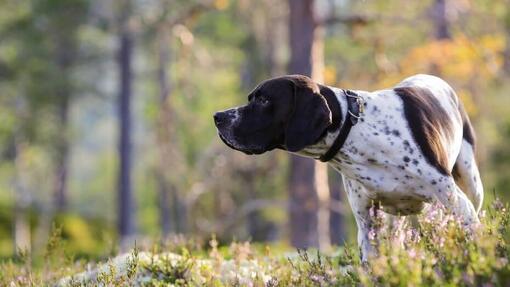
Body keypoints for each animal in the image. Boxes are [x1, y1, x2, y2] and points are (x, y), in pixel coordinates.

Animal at [213, 73, 484, 260]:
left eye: (263, 99)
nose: (218, 117)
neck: (356, 129)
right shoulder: (367, 225)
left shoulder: (459, 207)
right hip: (393, 221)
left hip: (471, 186)